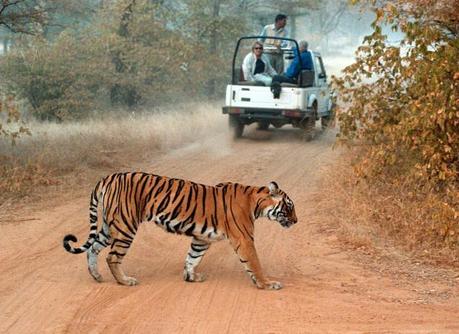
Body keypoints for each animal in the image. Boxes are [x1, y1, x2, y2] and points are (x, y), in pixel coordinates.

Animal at [62, 172, 298, 290]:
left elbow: (192, 257)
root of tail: (107, 178)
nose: (296, 221)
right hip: (125, 226)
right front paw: (267, 284)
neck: (256, 202)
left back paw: (97, 276)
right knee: (112, 257)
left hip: (109, 227)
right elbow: (254, 263)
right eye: (289, 206)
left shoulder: (201, 238)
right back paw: (125, 281)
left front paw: (190, 277)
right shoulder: (244, 239)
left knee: (92, 248)